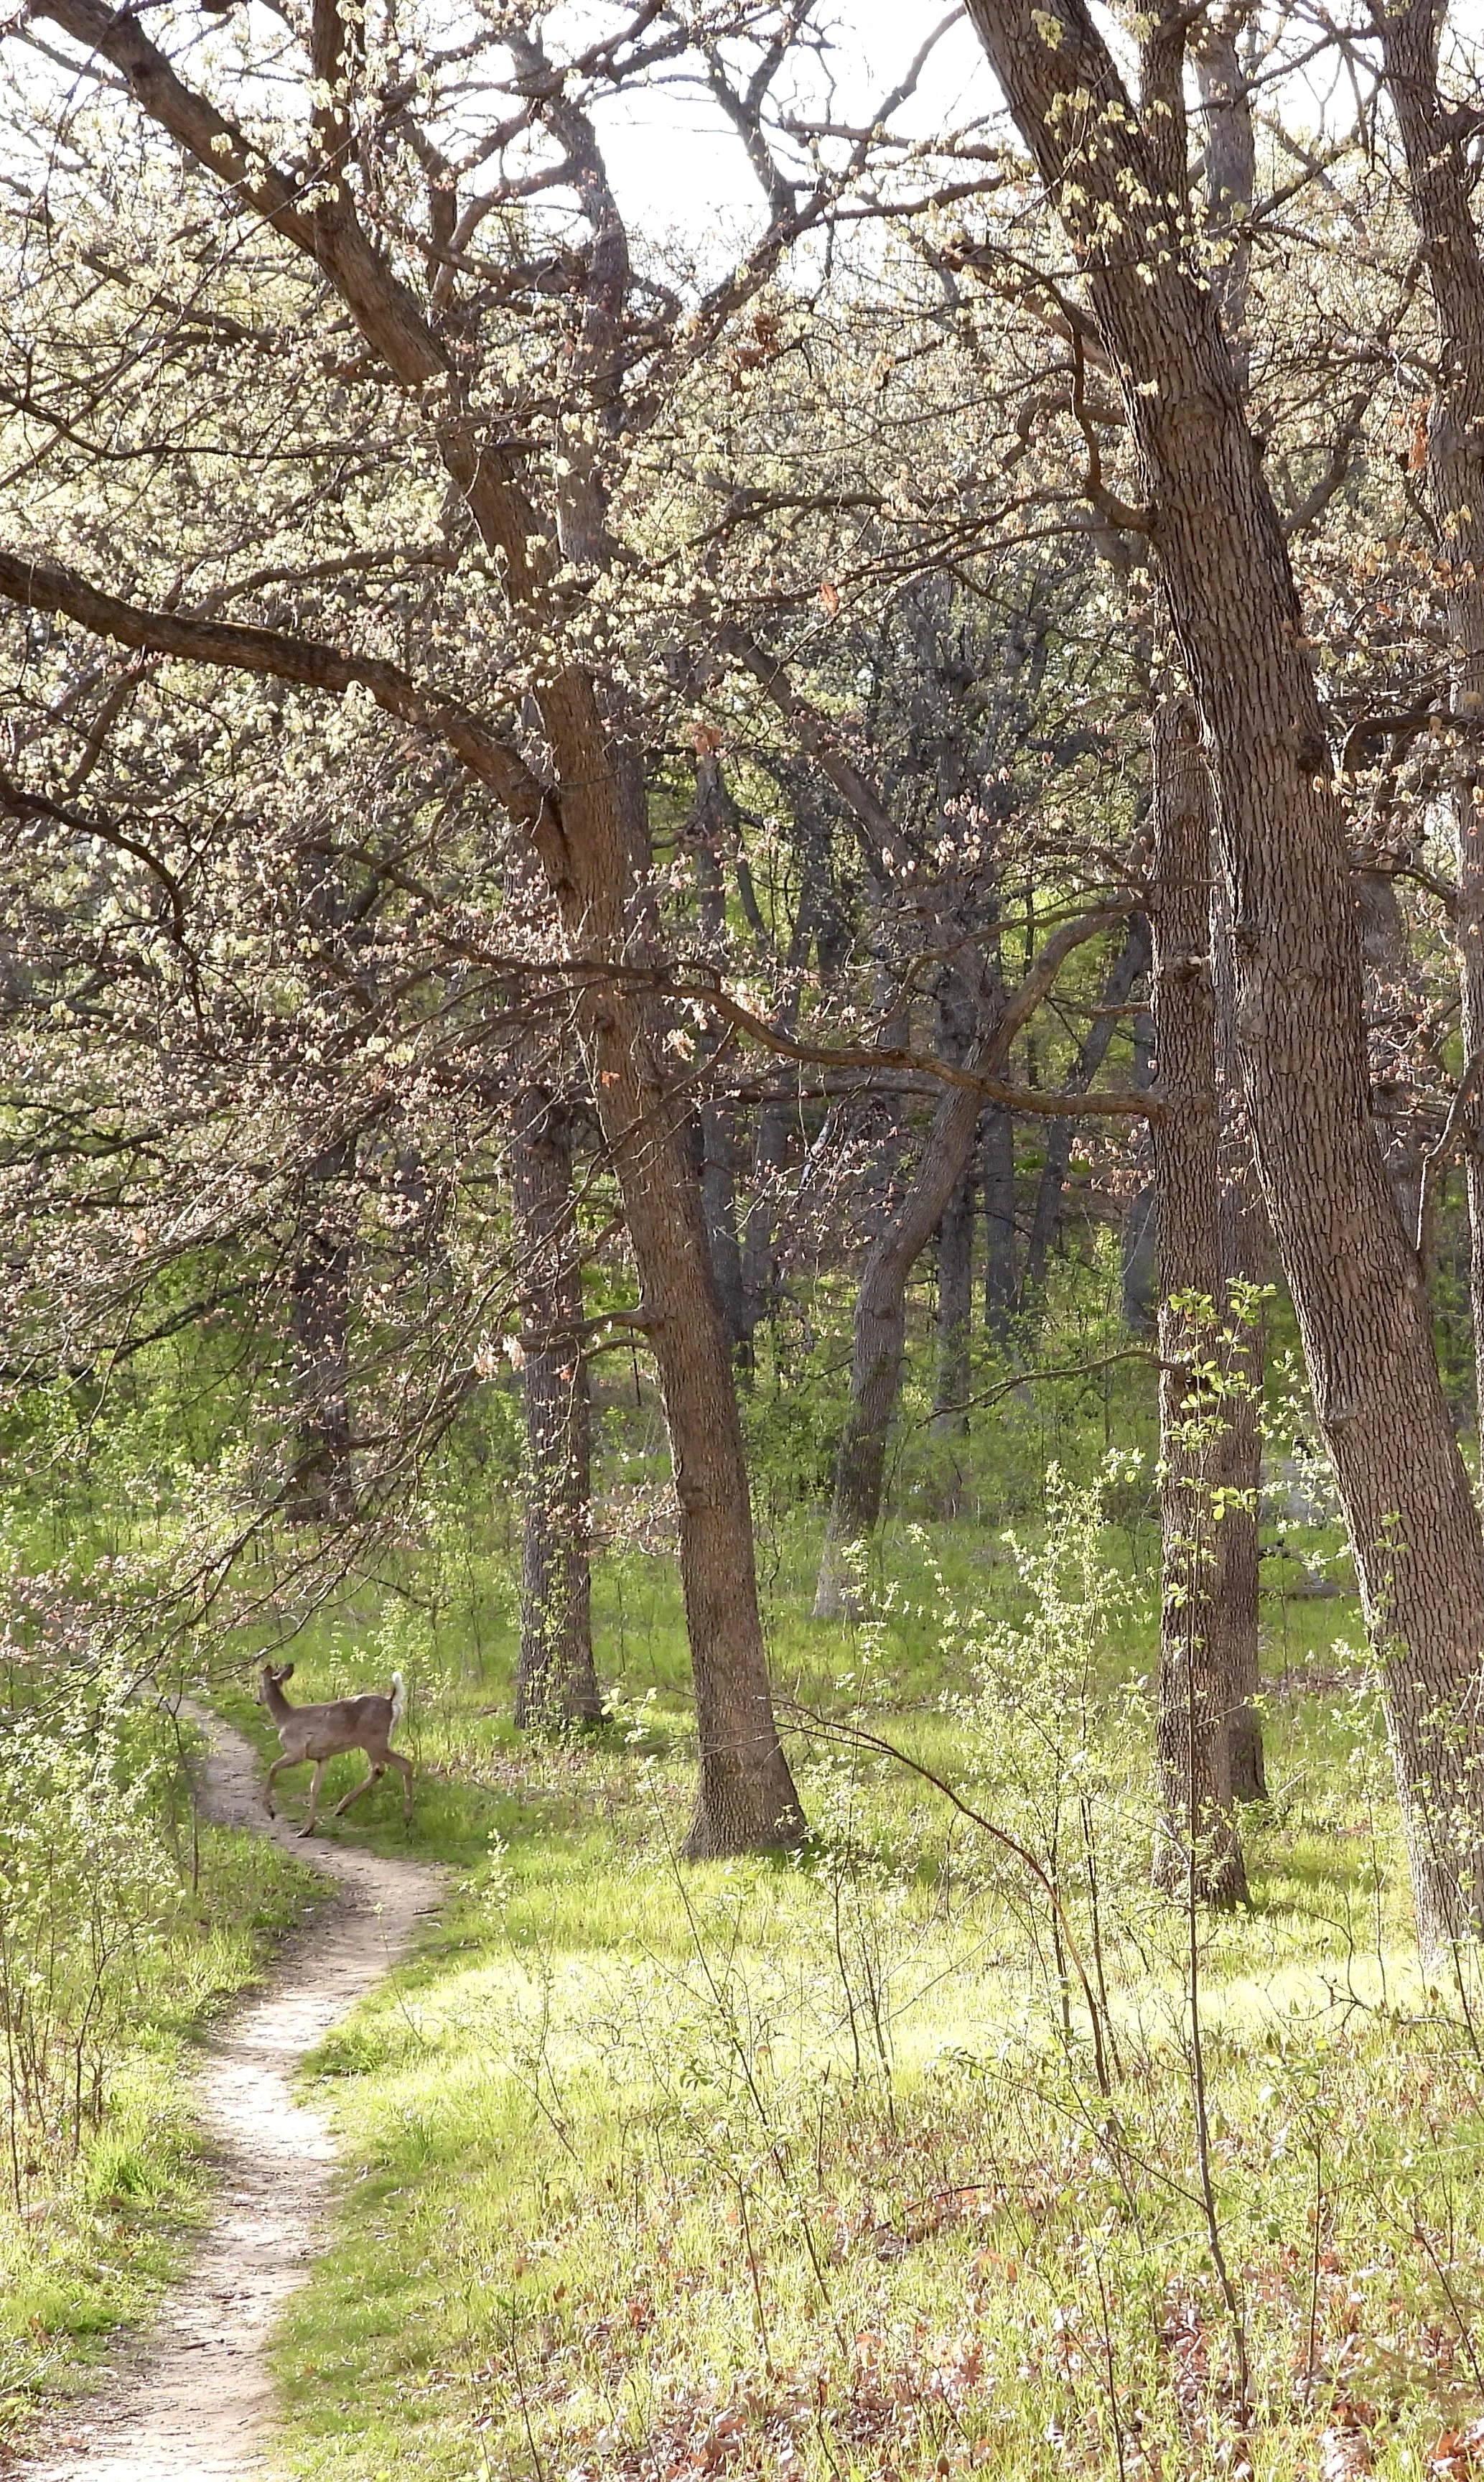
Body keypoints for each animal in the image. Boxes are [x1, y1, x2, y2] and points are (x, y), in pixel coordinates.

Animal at [256, 1661, 413, 1836]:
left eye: (259, 1686)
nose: (257, 1701)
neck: (284, 1719)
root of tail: (391, 1702)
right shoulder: (323, 1757)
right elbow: (315, 1787)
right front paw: (307, 1829)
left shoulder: (297, 1751)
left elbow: (273, 1767)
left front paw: (270, 1812)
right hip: (375, 1743)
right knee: (382, 1769)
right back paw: (343, 1808)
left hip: (374, 1741)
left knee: (401, 1765)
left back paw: (406, 1817)